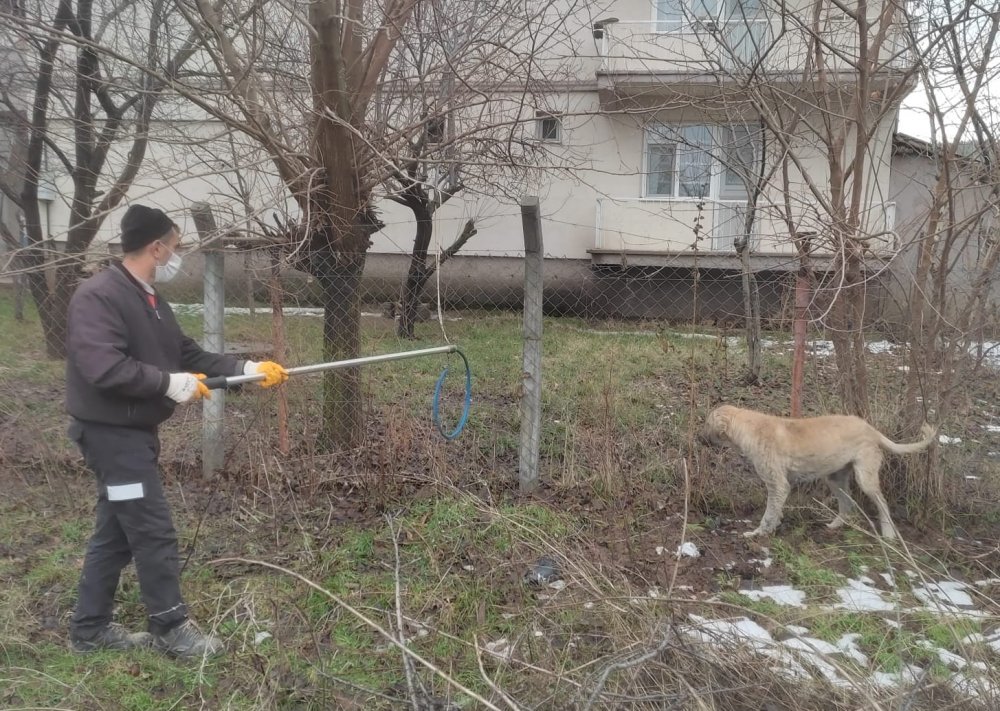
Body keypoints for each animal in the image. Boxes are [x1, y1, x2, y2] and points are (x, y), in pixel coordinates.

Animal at [700, 406, 932, 540]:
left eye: (707, 422)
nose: (699, 439)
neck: (749, 427)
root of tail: (871, 430)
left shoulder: (778, 484)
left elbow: (768, 514)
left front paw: (758, 533)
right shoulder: (780, 487)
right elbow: (776, 512)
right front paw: (773, 527)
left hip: (865, 478)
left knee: (882, 504)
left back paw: (889, 534)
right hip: (835, 478)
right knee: (848, 504)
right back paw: (835, 526)